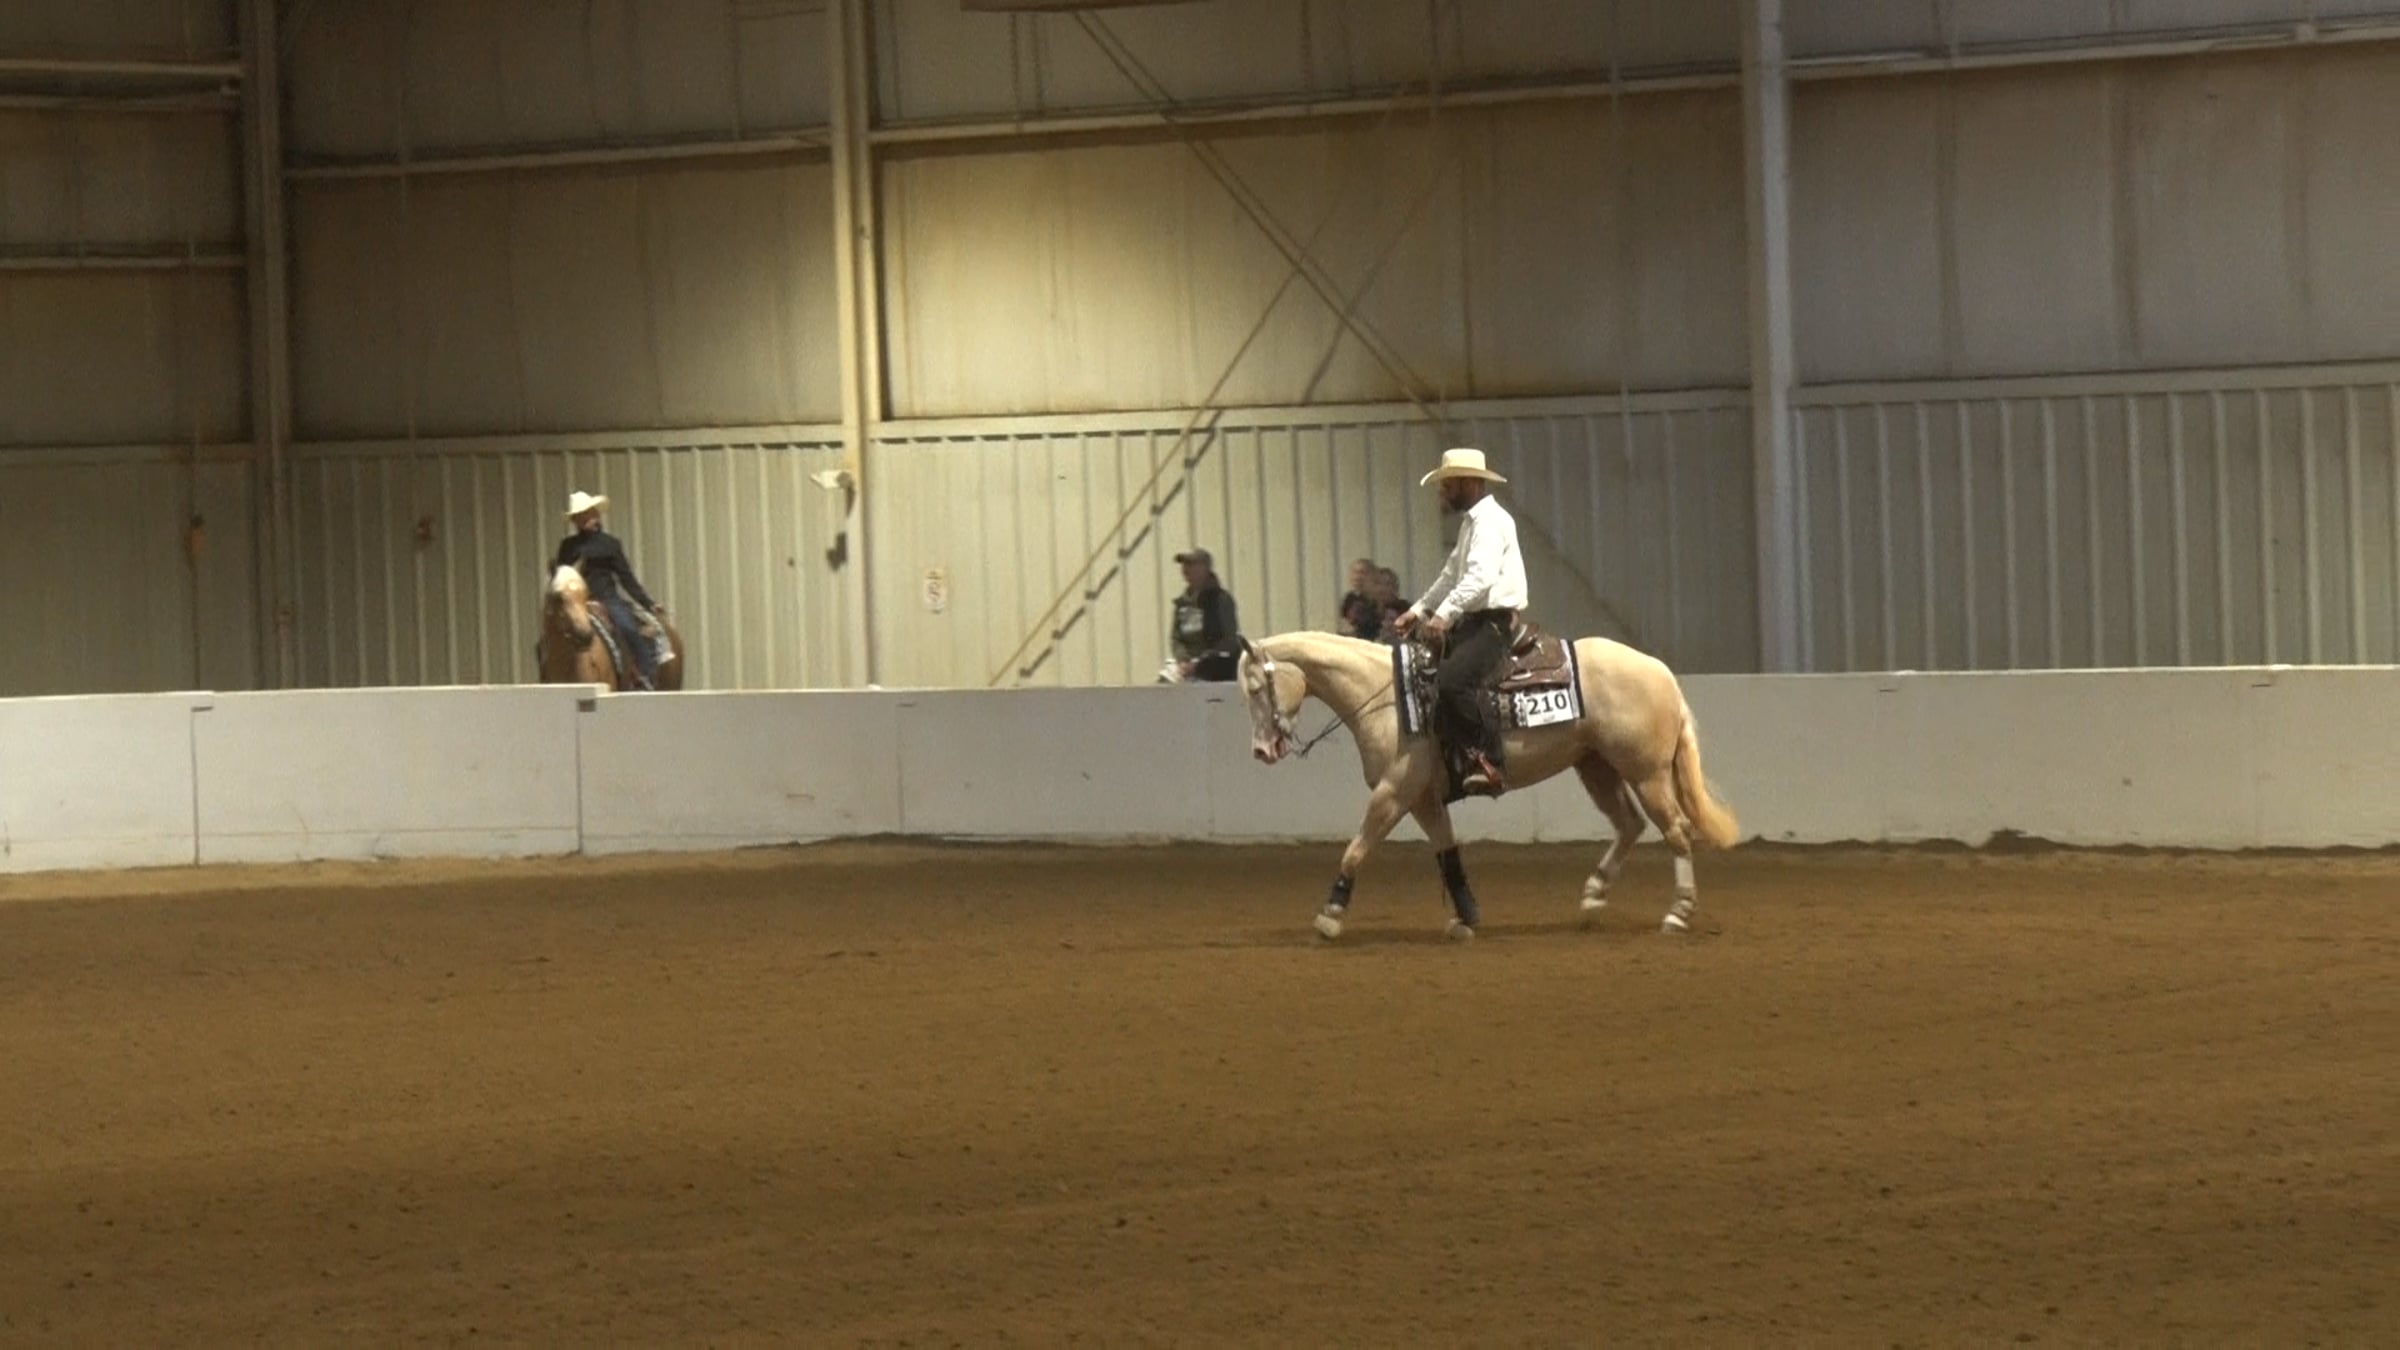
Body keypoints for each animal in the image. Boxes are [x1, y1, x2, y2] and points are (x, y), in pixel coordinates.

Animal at [1233, 627, 1739, 942]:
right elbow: (1447, 853)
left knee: (1675, 831)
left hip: (1646, 773)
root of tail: (1662, 673)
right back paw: (1593, 896)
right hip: (1596, 766)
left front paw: (1330, 916)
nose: (1262, 751)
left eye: (1256, 688)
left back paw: (1677, 914)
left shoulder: (1394, 792)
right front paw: (1465, 917)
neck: (1389, 697)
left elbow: (1356, 848)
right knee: (1630, 825)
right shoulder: (1424, 799)